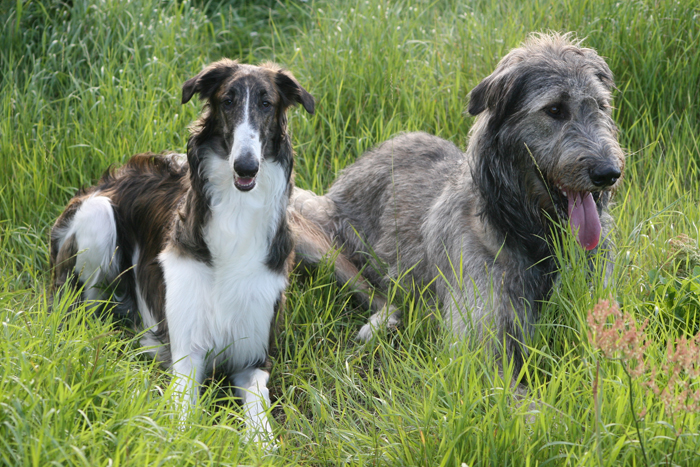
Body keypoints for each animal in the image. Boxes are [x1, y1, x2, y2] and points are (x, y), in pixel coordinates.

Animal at [54, 60, 314, 444]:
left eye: (266, 103)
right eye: (227, 101)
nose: (246, 166)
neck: (236, 216)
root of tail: (107, 179)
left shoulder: (254, 359)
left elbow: (260, 419)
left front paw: (258, 443)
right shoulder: (187, 356)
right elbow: (183, 421)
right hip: (97, 217)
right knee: (89, 310)